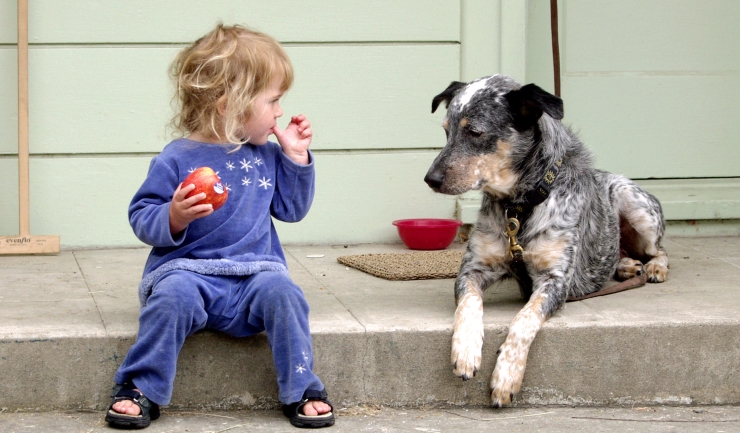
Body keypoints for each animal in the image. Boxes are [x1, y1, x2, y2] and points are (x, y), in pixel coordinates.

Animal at [422, 76, 672, 406]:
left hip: (636, 205)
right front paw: (465, 350)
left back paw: (654, 268)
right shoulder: (472, 271)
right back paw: (628, 266)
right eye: (446, 131)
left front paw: (506, 375)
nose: (430, 179)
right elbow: (468, 304)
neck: (519, 207)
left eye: (475, 132)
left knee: (660, 249)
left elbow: (524, 319)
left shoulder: (554, 281)